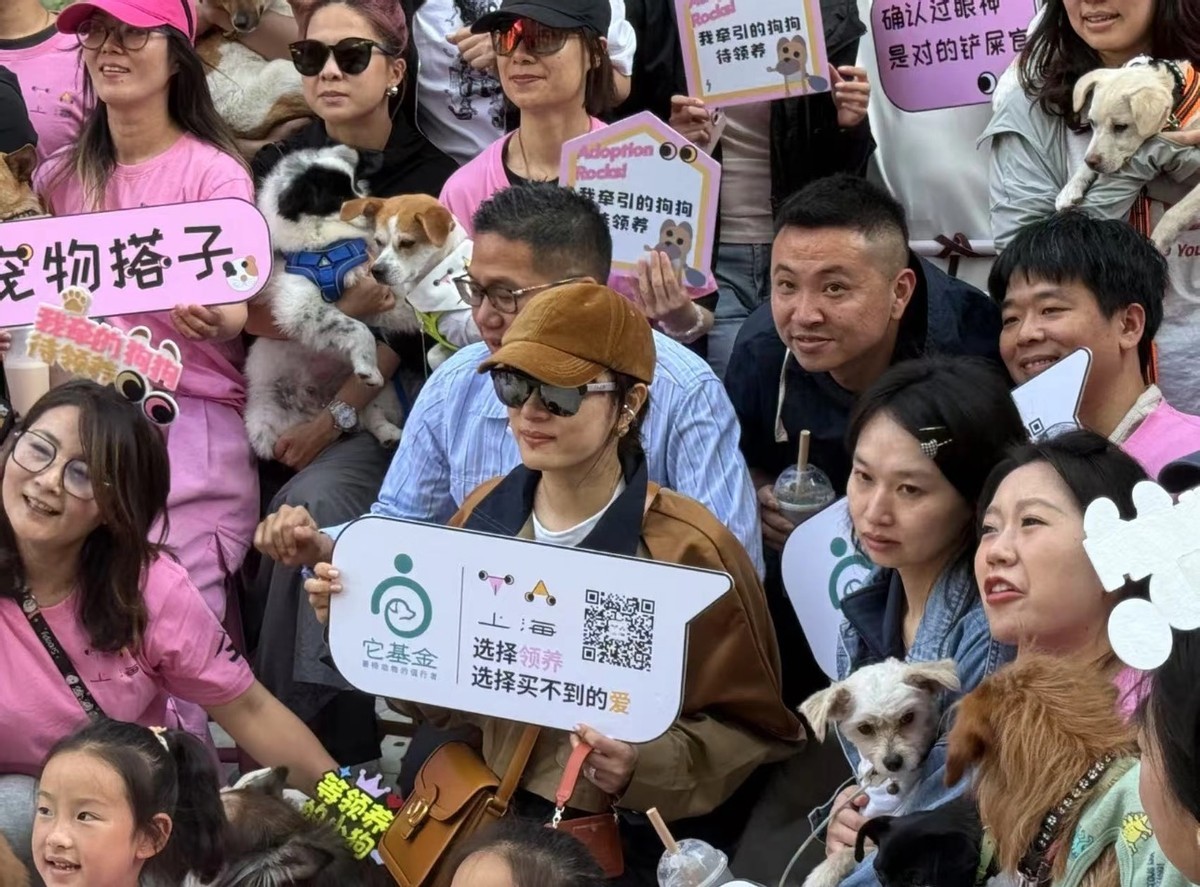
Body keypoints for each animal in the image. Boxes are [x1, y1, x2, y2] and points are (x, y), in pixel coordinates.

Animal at [245, 144, 402, 458]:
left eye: (356, 185)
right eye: (338, 199)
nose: (374, 208)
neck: (329, 247)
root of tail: (316, 407)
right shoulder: (299, 306)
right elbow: (356, 328)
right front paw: (367, 364)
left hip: (383, 393)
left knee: (368, 413)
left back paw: (388, 434)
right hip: (264, 415)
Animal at [799, 658, 961, 887]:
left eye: (908, 717)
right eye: (865, 728)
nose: (893, 762)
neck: (887, 781)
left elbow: (848, 854)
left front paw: (821, 875)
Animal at [1055, 59, 1200, 250]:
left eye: (1120, 127)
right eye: (1092, 122)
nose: (1091, 162)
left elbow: (1175, 212)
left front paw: (1157, 242)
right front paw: (1070, 189)